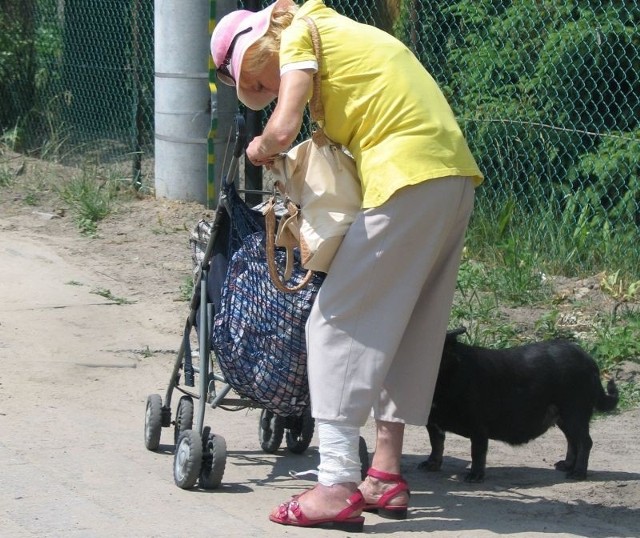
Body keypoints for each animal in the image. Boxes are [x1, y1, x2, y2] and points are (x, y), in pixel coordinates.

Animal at [420, 326, 620, 482]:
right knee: (572, 440)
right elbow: (436, 444)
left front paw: (475, 475)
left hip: (574, 411)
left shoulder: (478, 426)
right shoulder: (433, 423)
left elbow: (477, 452)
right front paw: (432, 464)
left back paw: (578, 473)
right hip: (563, 417)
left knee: (585, 441)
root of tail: (589, 360)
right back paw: (567, 465)